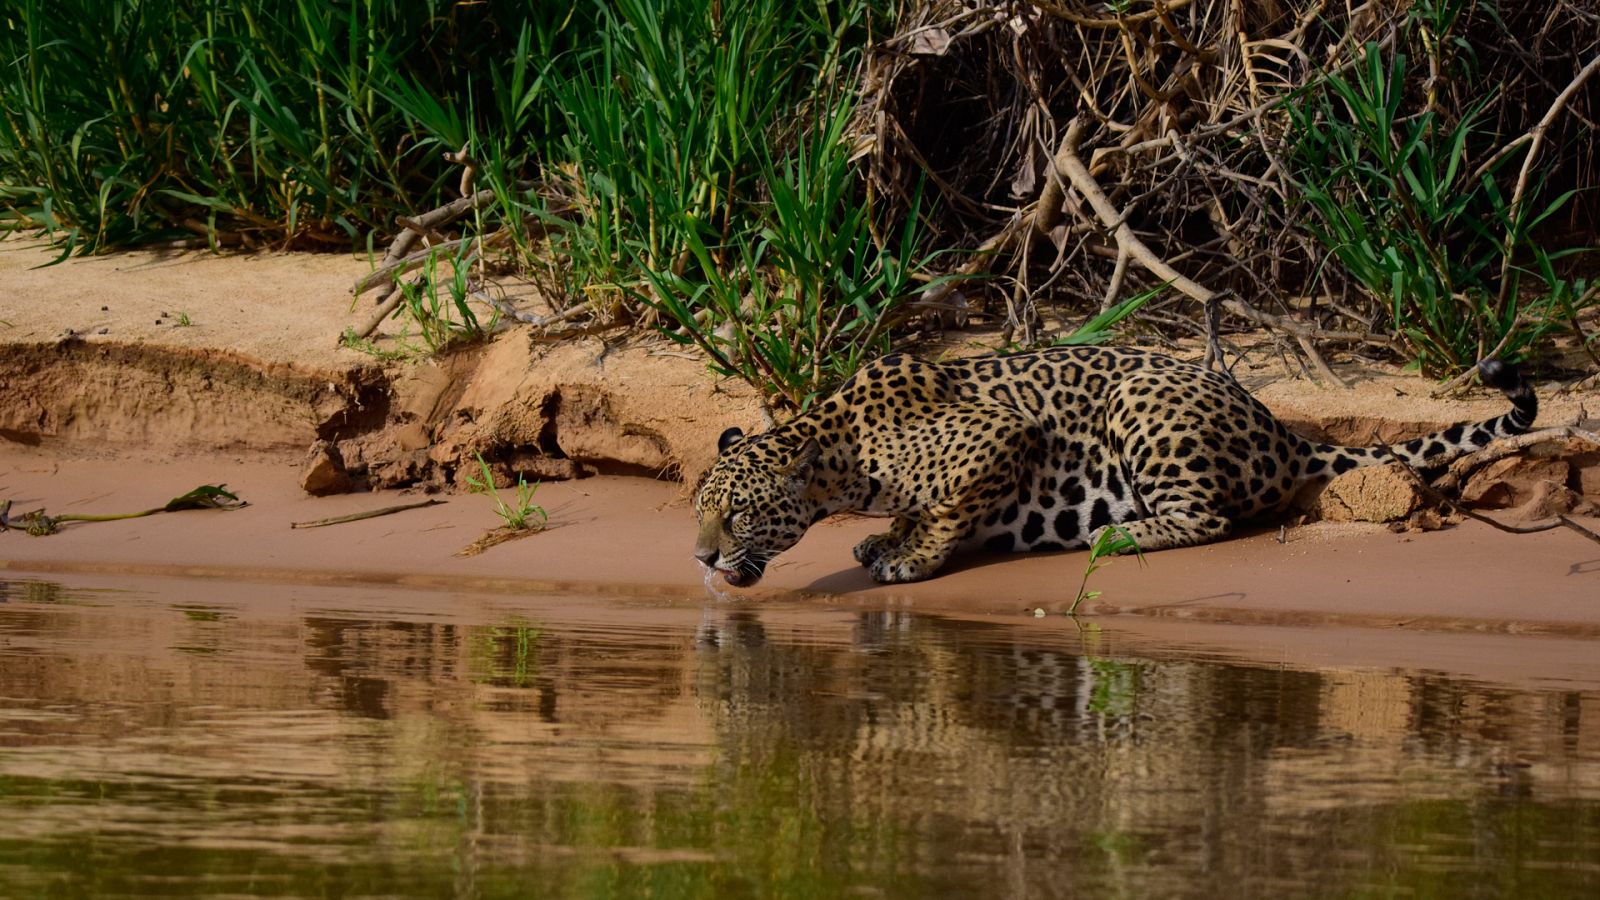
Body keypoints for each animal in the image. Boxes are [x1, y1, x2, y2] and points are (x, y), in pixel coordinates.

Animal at [692, 346, 1537, 586]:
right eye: (699, 512)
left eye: (737, 515)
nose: (698, 558)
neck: (838, 449)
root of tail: (1281, 433)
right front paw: (883, 539)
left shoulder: (1000, 435)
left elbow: (946, 508)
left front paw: (912, 557)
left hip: (1141, 398)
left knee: (1208, 516)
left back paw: (1119, 535)